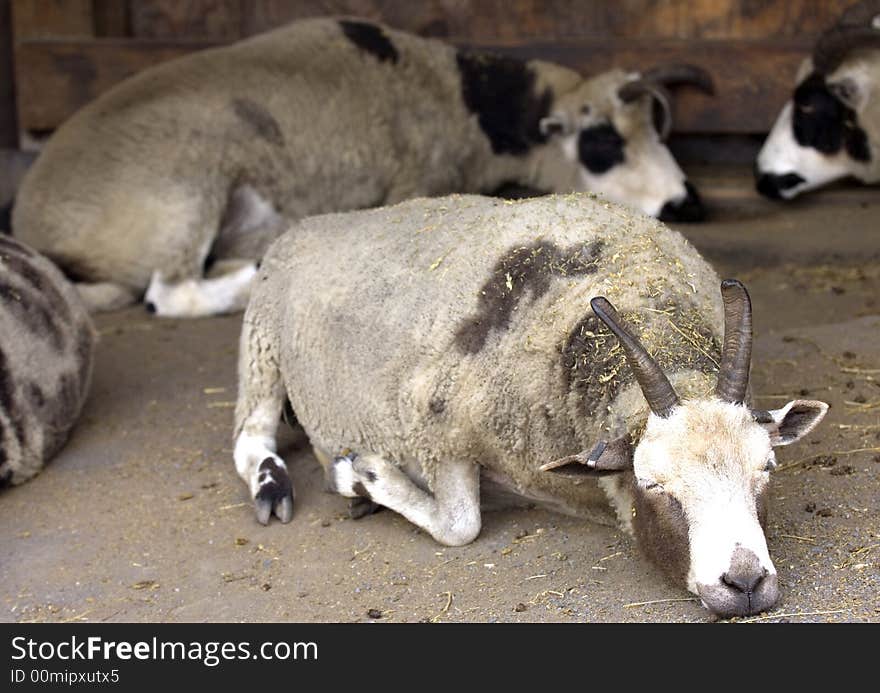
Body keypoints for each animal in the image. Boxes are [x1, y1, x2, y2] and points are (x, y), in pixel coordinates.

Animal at [13, 16, 712, 318]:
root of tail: (32, 220)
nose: (686, 203)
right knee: (170, 293)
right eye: (601, 142)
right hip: (182, 194)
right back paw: (248, 276)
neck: (459, 98)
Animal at [230, 193, 828, 616]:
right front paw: (361, 475)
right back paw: (275, 485)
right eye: (653, 484)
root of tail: (315, 222)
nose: (745, 583)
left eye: (767, 468)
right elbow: (461, 526)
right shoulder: (435, 429)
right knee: (249, 435)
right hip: (261, 342)